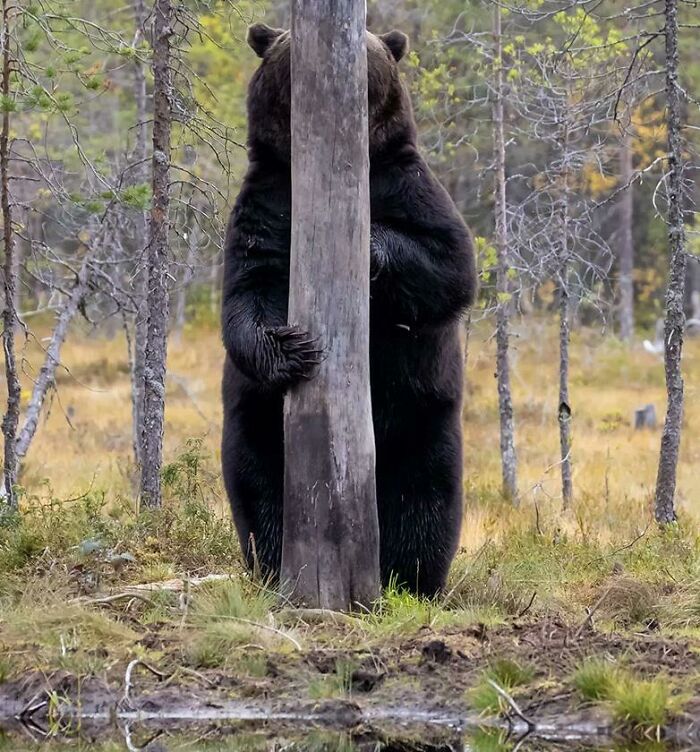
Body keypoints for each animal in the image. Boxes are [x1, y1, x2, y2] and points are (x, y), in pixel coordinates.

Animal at [221, 23, 476, 596]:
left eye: (369, 46)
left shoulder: (406, 183)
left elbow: (449, 264)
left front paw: (371, 244)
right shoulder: (269, 201)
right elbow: (247, 289)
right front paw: (292, 348)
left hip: (422, 420)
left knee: (424, 500)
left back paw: (411, 579)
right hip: (257, 424)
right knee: (259, 490)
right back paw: (275, 564)